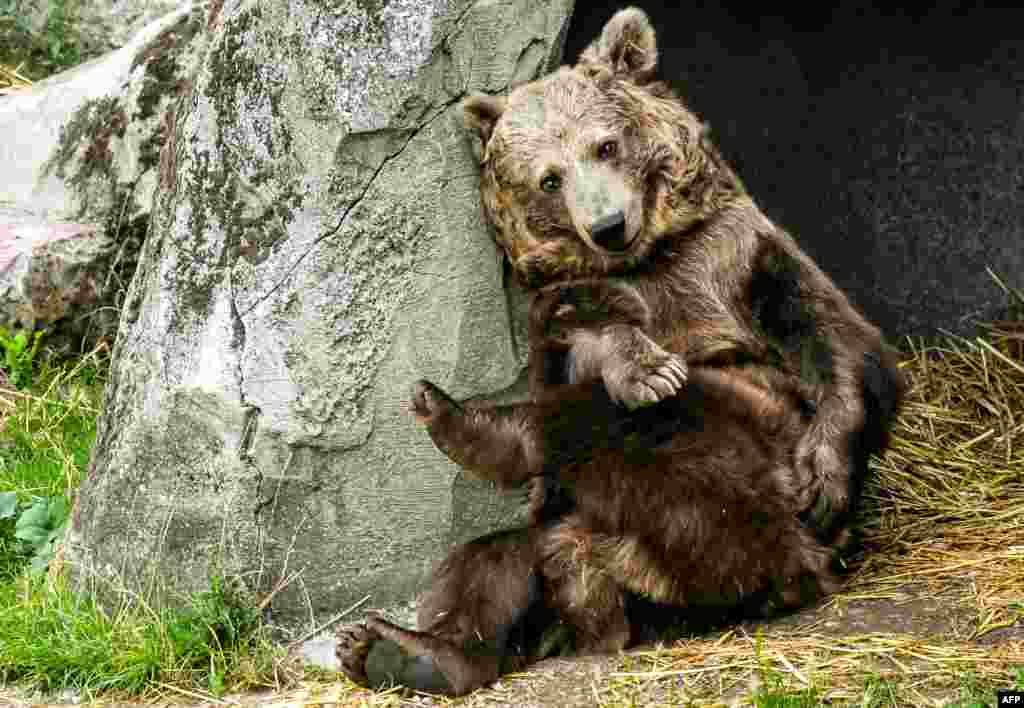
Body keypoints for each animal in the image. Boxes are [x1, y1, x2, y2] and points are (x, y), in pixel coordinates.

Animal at [335, 5, 905, 696]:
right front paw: (641, 364)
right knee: (496, 559)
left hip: (749, 467)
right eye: (548, 179)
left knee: (651, 437)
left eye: (605, 145)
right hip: (589, 544)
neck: (647, 257)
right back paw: (399, 647)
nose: (607, 225)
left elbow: (838, 338)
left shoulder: (736, 254)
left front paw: (826, 476)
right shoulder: (557, 304)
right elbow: (580, 335)